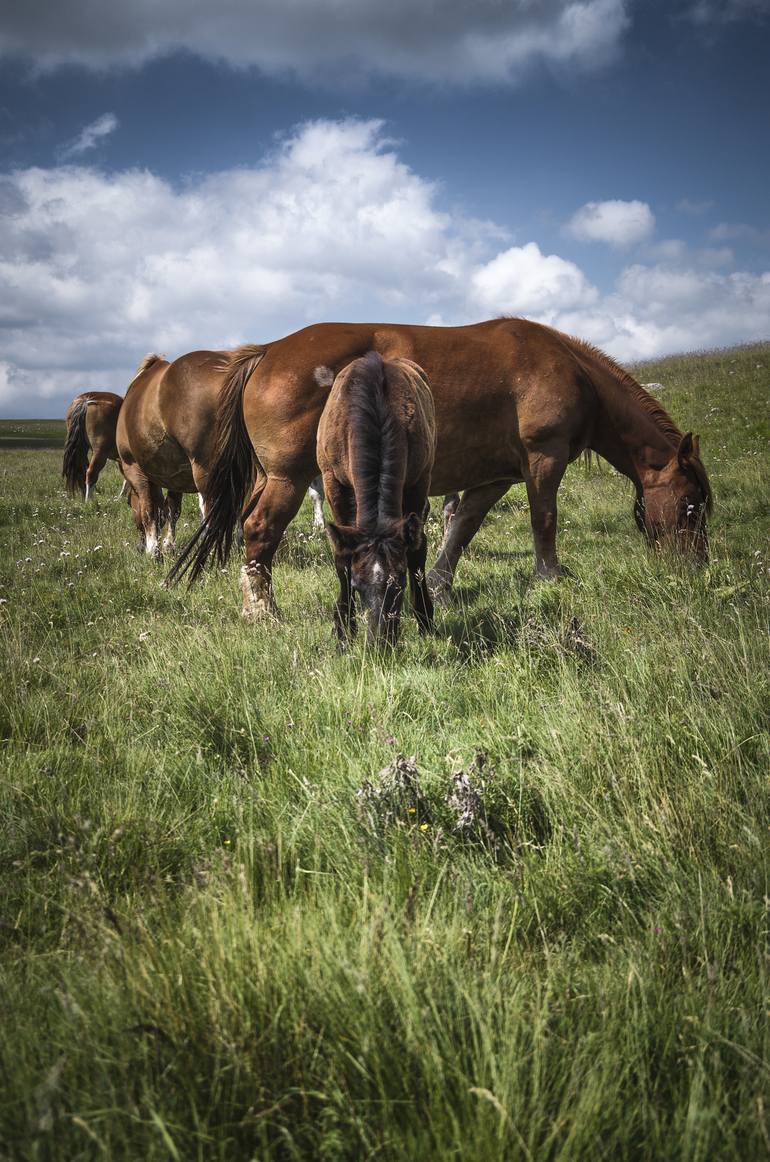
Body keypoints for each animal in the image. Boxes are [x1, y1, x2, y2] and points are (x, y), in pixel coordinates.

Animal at [171, 313, 715, 613]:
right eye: (691, 507)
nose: (694, 570)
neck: (571, 370)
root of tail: (267, 353)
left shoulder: (495, 477)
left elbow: (463, 530)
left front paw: (438, 584)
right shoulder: (544, 457)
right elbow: (545, 519)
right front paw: (549, 579)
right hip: (289, 477)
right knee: (259, 529)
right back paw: (263, 612)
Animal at [315, 348, 436, 650]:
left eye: (399, 583)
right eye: (357, 585)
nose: (380, 644)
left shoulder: (418, 482)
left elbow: (416, 551)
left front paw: (425, 620)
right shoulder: (333, 482)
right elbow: (342, 557)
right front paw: (343, 630)